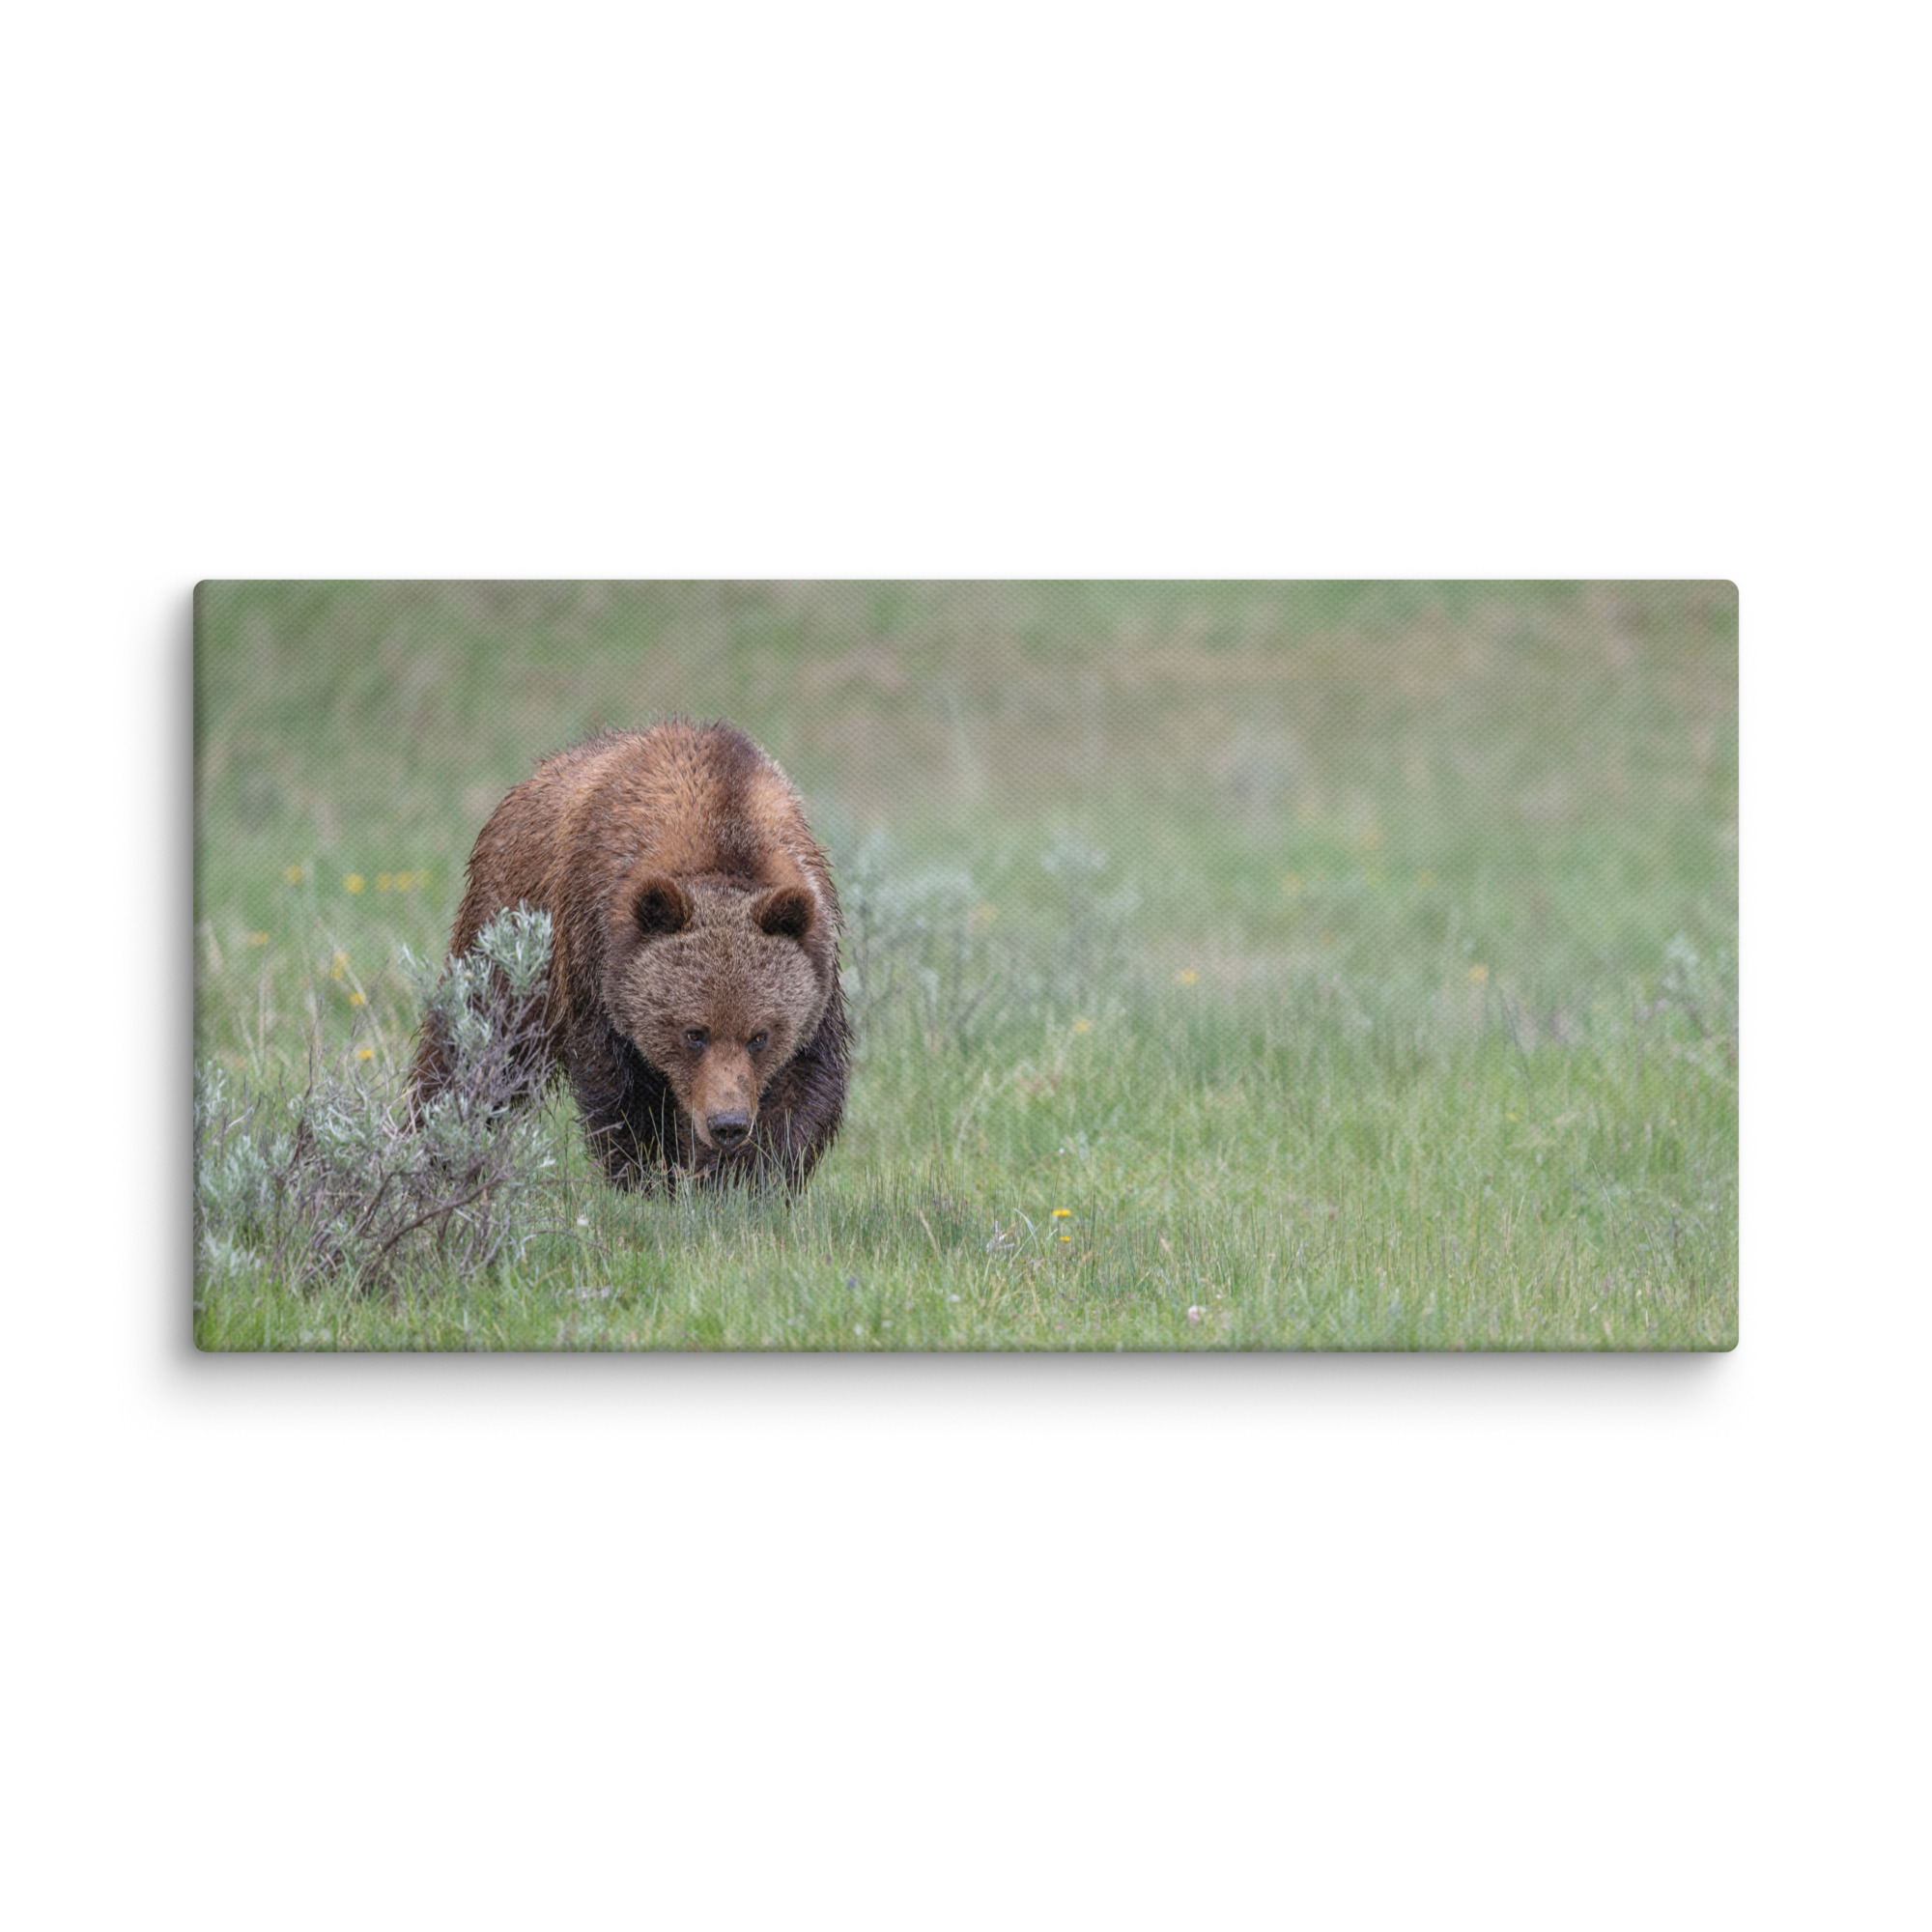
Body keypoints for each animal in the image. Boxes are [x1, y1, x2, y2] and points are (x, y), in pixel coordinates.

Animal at [410, 719, 850, 1191]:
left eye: (760, 1036)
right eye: (693, 1033)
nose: (727, 1124)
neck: (724, 833)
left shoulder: (817, 967)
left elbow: (803, 1087)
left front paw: (743, 1179)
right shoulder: (596, 957)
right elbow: (622, 1091)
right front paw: (650, 1176)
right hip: (510, 932)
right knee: (476, 1043)